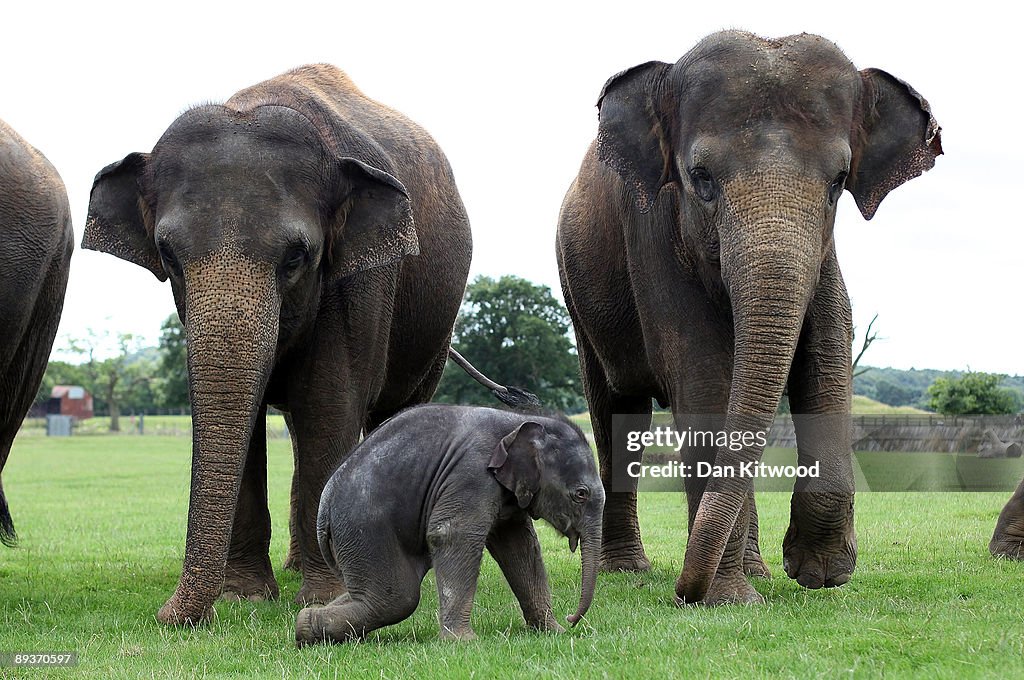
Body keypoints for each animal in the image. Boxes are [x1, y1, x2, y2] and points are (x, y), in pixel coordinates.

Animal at [83, 65, 471, 626]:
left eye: (296, 257)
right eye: (168, 255)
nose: (166, 615)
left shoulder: (361, 281)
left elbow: (327, 407)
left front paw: (324, 599)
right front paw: (243, 597)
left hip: (433, 332)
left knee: (395, 414)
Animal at [292, 405, 602, 647]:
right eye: (580, 494)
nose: (571, 619)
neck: (518, 419)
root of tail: (325, 505)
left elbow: (519, 546)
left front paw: (553, 632)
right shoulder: (471, 473)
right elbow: (452, 535)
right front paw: (464, 642)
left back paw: (310, 627)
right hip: (364, 528)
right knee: (397, 598)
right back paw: (308, 627)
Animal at [557, 31, 937, 606]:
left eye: (839, 182)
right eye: (701, 178)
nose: (684, 590)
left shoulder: (824, 255)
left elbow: (827, 353)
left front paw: (818, 572)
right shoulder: (652, 234)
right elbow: (704, 374)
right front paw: (728, 598)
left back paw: (754, 571)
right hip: (579, 295)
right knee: (617, 411)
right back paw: (631, 569)